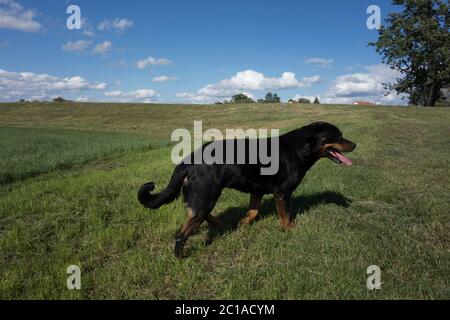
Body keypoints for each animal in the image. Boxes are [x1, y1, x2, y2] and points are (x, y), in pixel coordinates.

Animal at [139, 121, 356, 258]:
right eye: (337, 136)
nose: (354, 144)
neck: (300, 149)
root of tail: (189, 159)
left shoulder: (257, 191)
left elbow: (253, 212)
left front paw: (242, 223)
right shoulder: (282, 193)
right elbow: (285, 217)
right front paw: (290, 230)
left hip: (204, 198)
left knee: (197, 216)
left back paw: (221, 223)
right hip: (206, 196)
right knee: (181, 233)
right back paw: (180, 258)